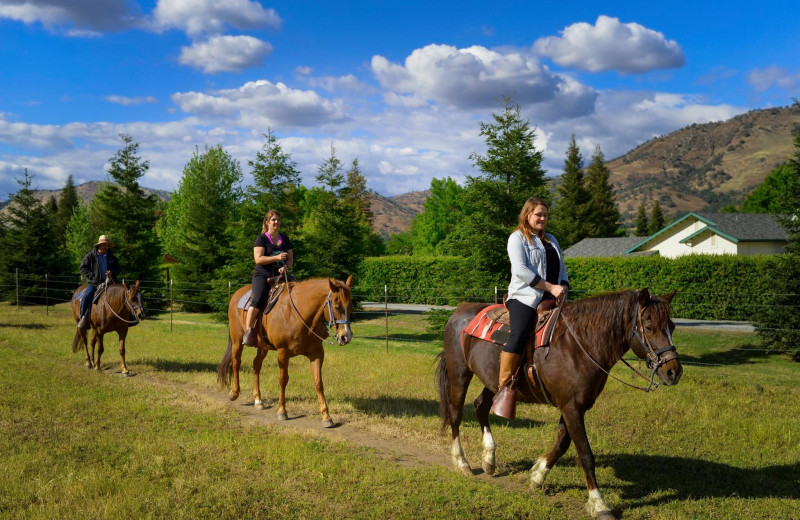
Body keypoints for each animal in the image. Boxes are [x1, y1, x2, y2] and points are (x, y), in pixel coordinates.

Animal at [219, 276, 356, 426]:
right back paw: (234, 393)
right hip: (237, 341)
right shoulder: (283, 352)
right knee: (236, 362)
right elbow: (283, 380)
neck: (298, 315)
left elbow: (318, 383)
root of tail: (236, 295)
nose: (346, 337)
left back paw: (258, 400)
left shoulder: (317, 353)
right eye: (336, 306)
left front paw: (326, 416)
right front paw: (282, 411)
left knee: (256, 366)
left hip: (263, 347)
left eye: (350, 307)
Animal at [438, 290, 680, 516]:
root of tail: (460, 311)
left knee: (480, 407)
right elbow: (585, 454)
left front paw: (537, 475)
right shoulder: (571, 407)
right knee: (456, 414)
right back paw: (462, 462)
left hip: (493, 382)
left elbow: (563, 443)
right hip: (459, 374)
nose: (674, 372)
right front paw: (598, 503)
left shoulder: (574, 406)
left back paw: (489, 458)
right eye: (648, 327)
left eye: (672, 326)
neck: (578, 345)